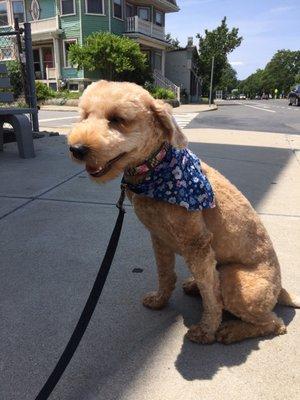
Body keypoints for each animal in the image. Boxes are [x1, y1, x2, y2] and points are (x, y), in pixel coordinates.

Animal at [68, 80, 300, 344]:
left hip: (235, 281)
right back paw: (193, 287)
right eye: (85, 115)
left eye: (117, 119)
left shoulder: (197, 245)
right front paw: (160, 300)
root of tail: (281, 290)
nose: (76, 149)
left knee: (274, 323)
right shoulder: (159, 238)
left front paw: (206, 330)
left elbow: (212, 298)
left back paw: (231, 331)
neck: (155, 168)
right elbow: (165, 274)